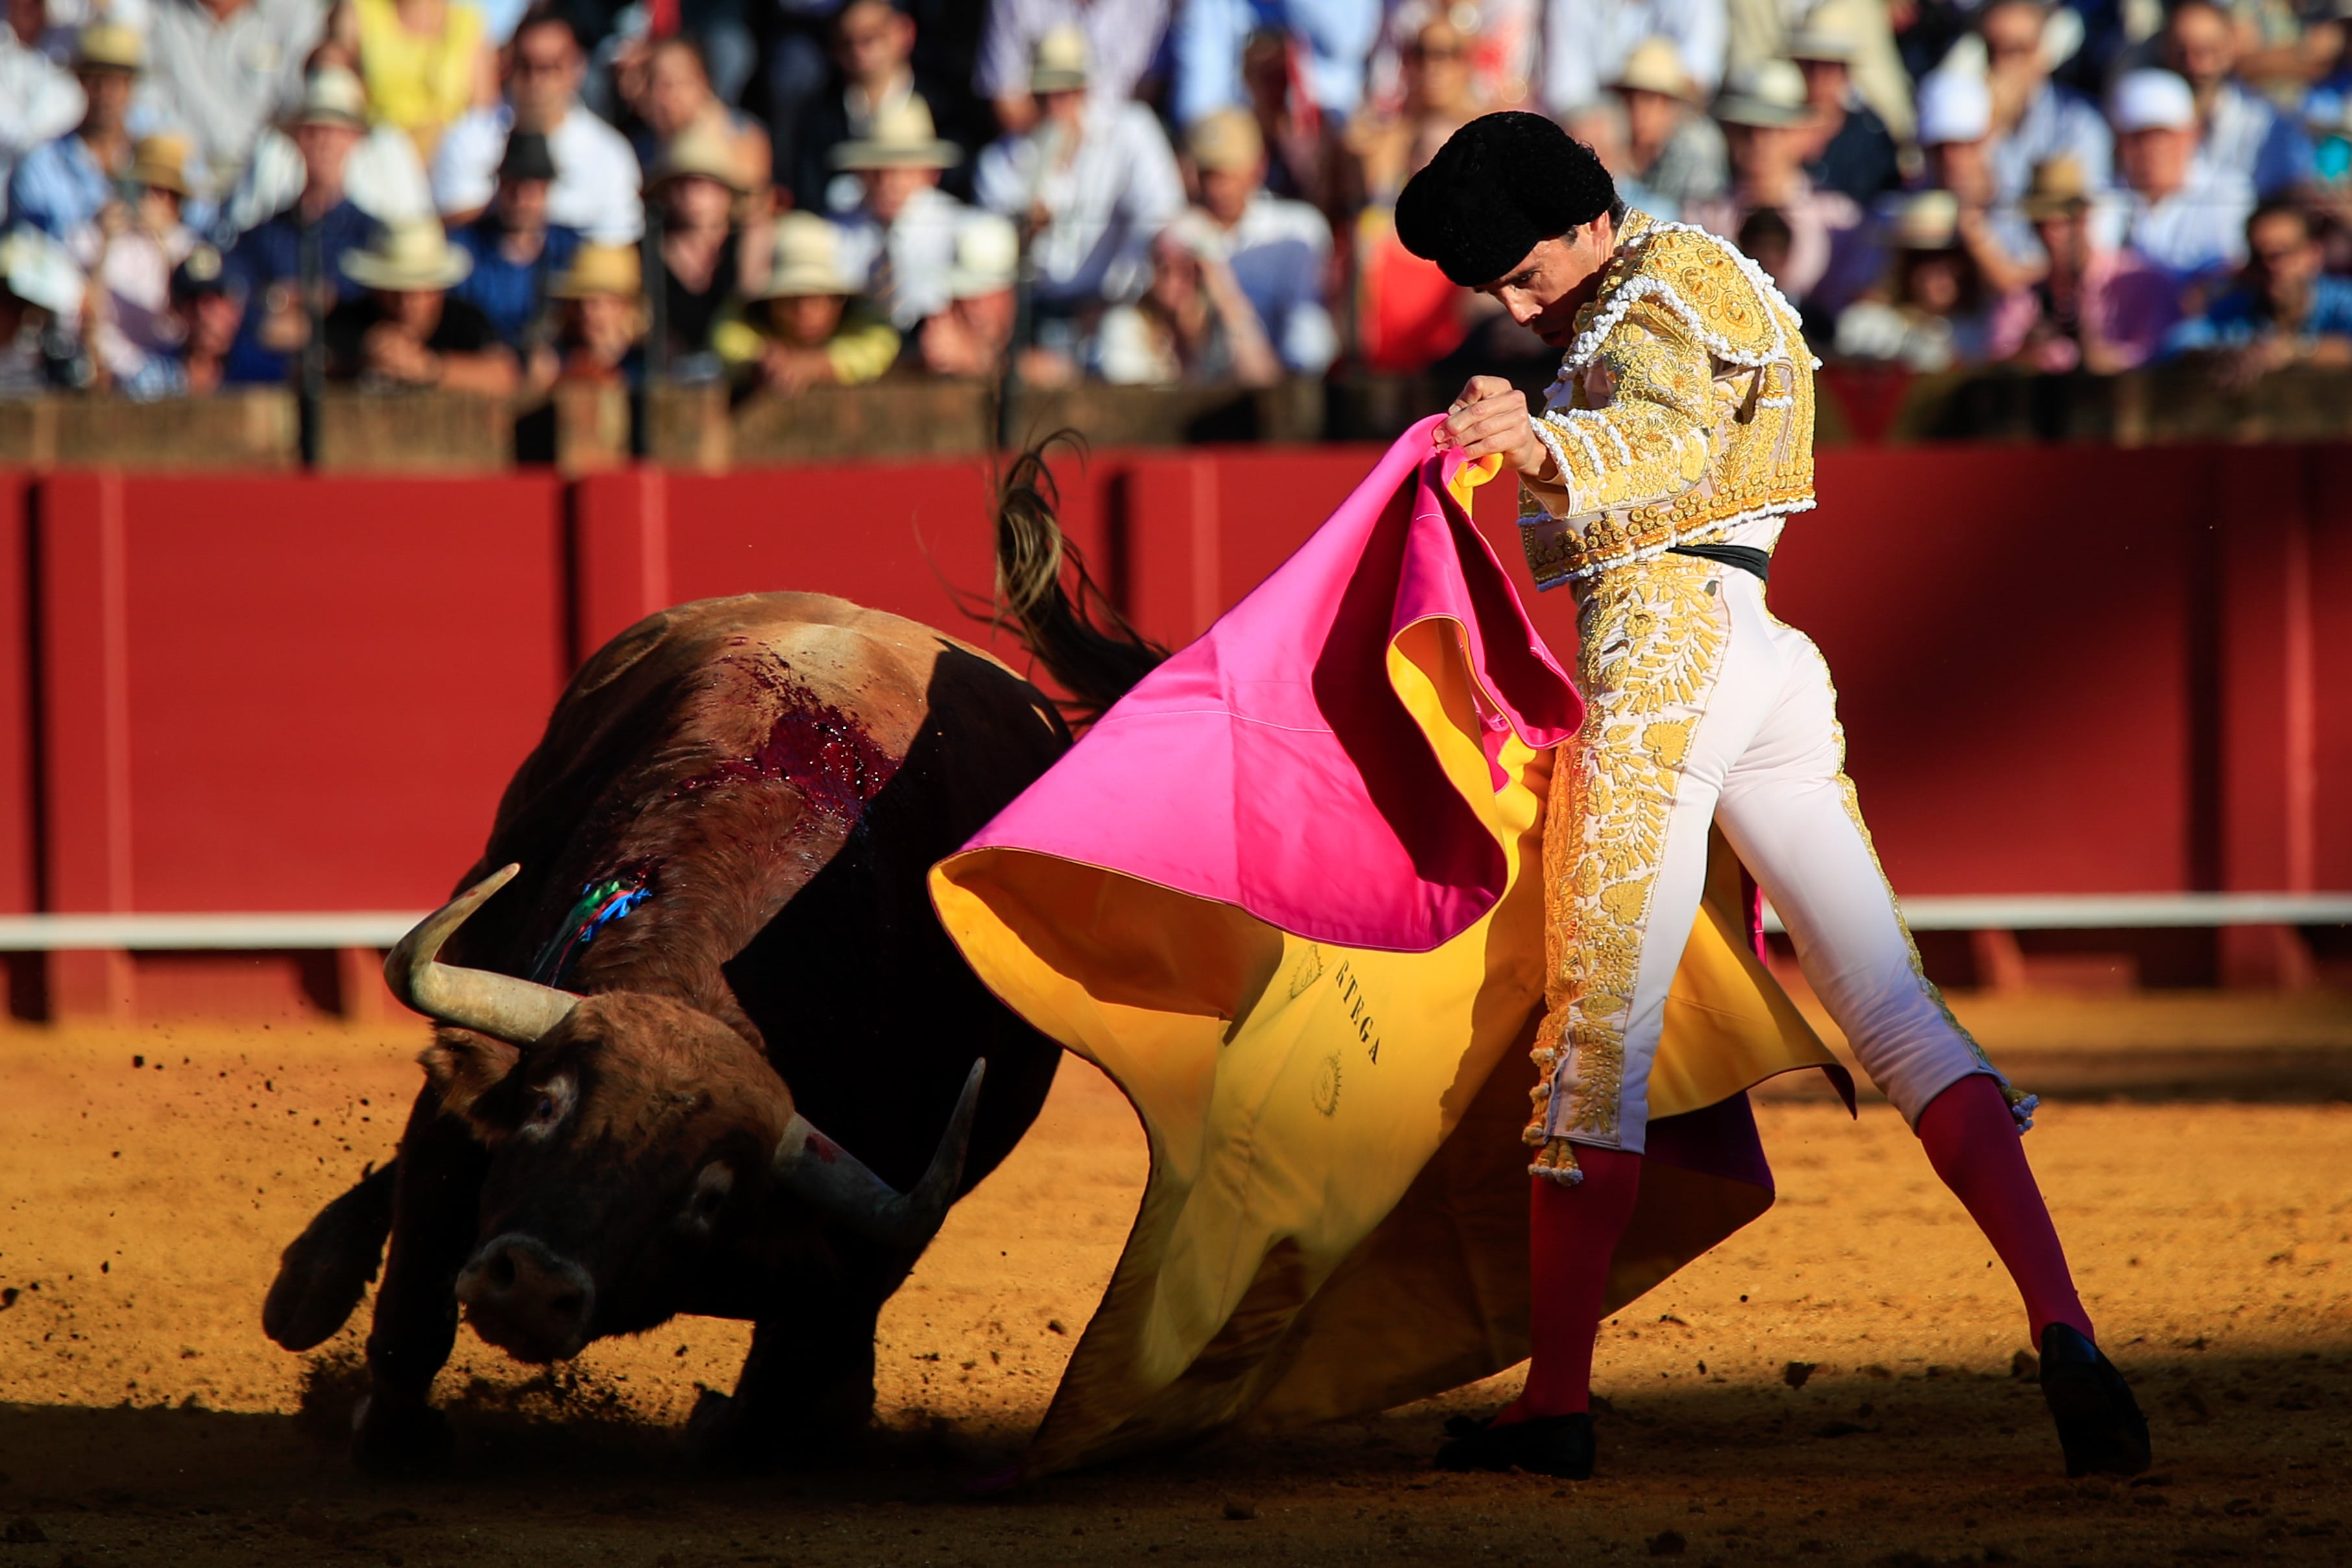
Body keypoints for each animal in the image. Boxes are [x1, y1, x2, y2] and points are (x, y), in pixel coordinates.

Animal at [269, 455, 1157, 1476]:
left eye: (707, 1196)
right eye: (546, 1108)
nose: (531, 1285)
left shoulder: (861, 1247)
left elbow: (784, 1382)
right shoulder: (463, 1109)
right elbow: (417, 1290)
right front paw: (396, 1435)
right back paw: (307, 1284)